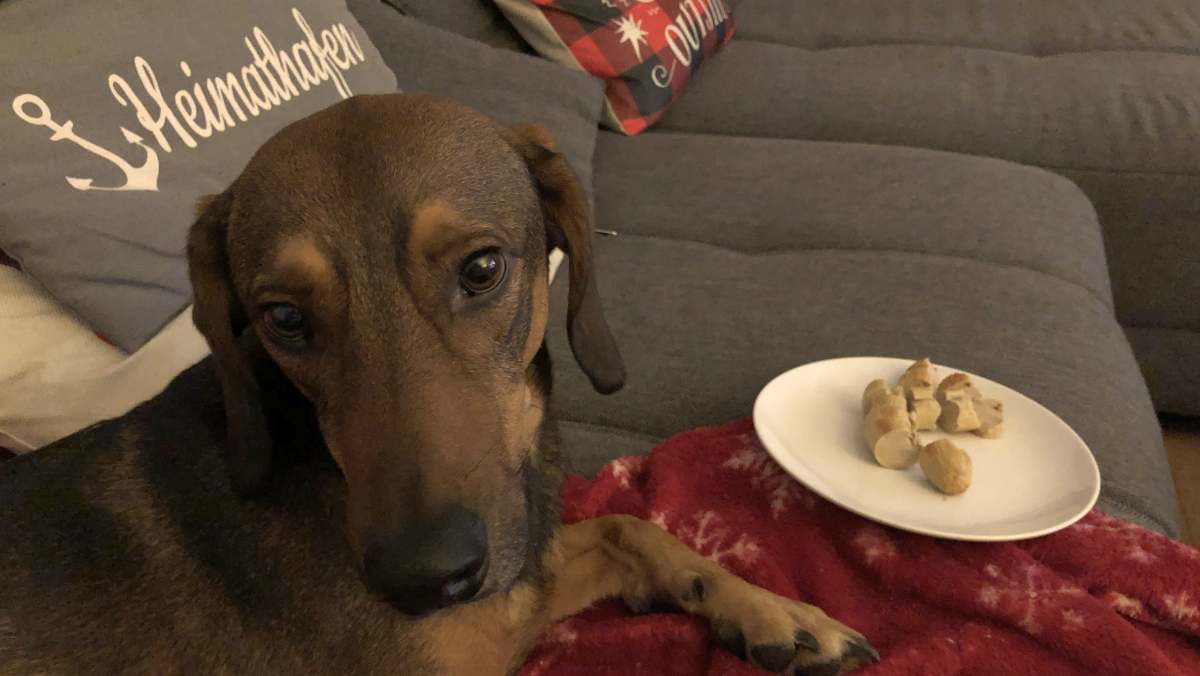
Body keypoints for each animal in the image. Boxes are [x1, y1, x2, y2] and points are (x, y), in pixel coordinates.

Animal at [0, 95, 873, 676]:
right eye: (282, 317)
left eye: (482, 268)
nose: (423, 578)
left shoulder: (515, 583)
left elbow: (628, 526)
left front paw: (769, 608)